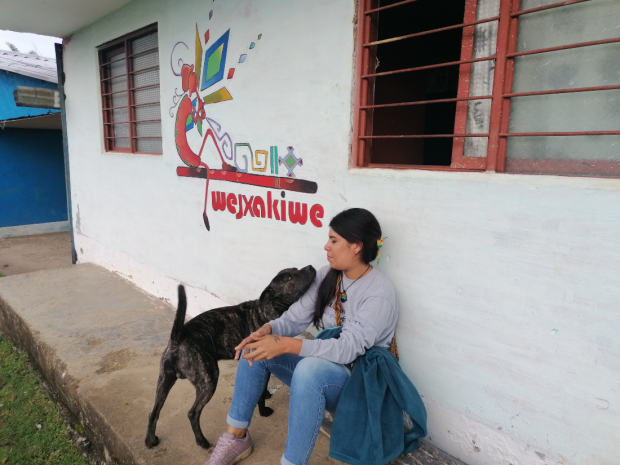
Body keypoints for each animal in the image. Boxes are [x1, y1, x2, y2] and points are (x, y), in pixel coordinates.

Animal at [143, 266, 312, 448]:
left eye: (295, 270)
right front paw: (263, 410)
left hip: (164, 381)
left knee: (154, 412)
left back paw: (150, 440)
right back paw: (202, 441)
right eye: (289, 278)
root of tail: (178, 337)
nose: (310, 267)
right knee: (193, 413)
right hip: (208, 380)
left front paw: (266, 393)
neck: (269, 308)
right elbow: (259, 393)